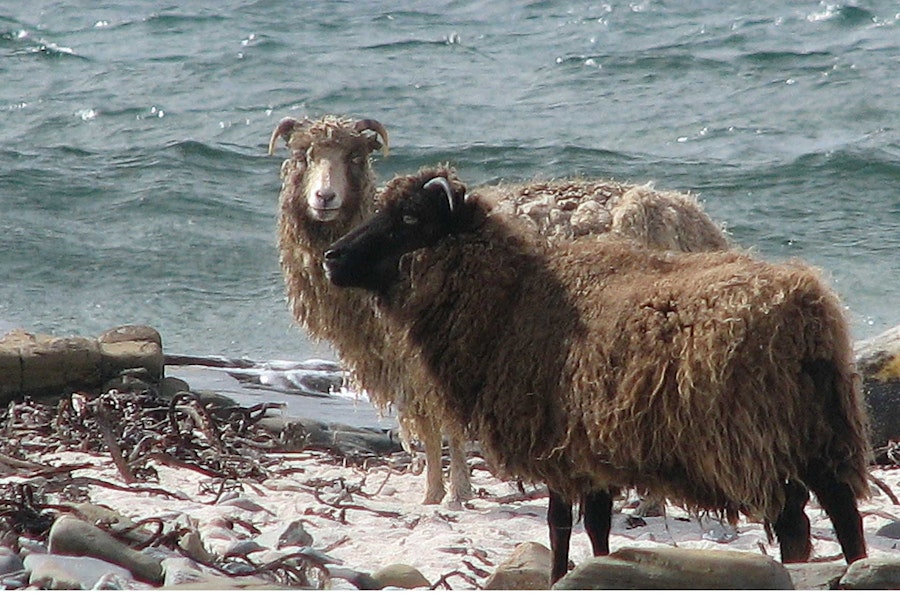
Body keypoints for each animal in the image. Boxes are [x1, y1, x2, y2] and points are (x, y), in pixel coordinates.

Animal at [323, 166, 871, 584]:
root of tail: (807, 307)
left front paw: (559, 576)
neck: (513, 300)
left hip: (758, 441)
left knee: (795, 524)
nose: (332, 257)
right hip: (823, 433)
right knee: (844, 515)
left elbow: (560, 526)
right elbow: (599, 528)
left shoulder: (558, 448)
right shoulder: (591, 451)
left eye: (410, 217)